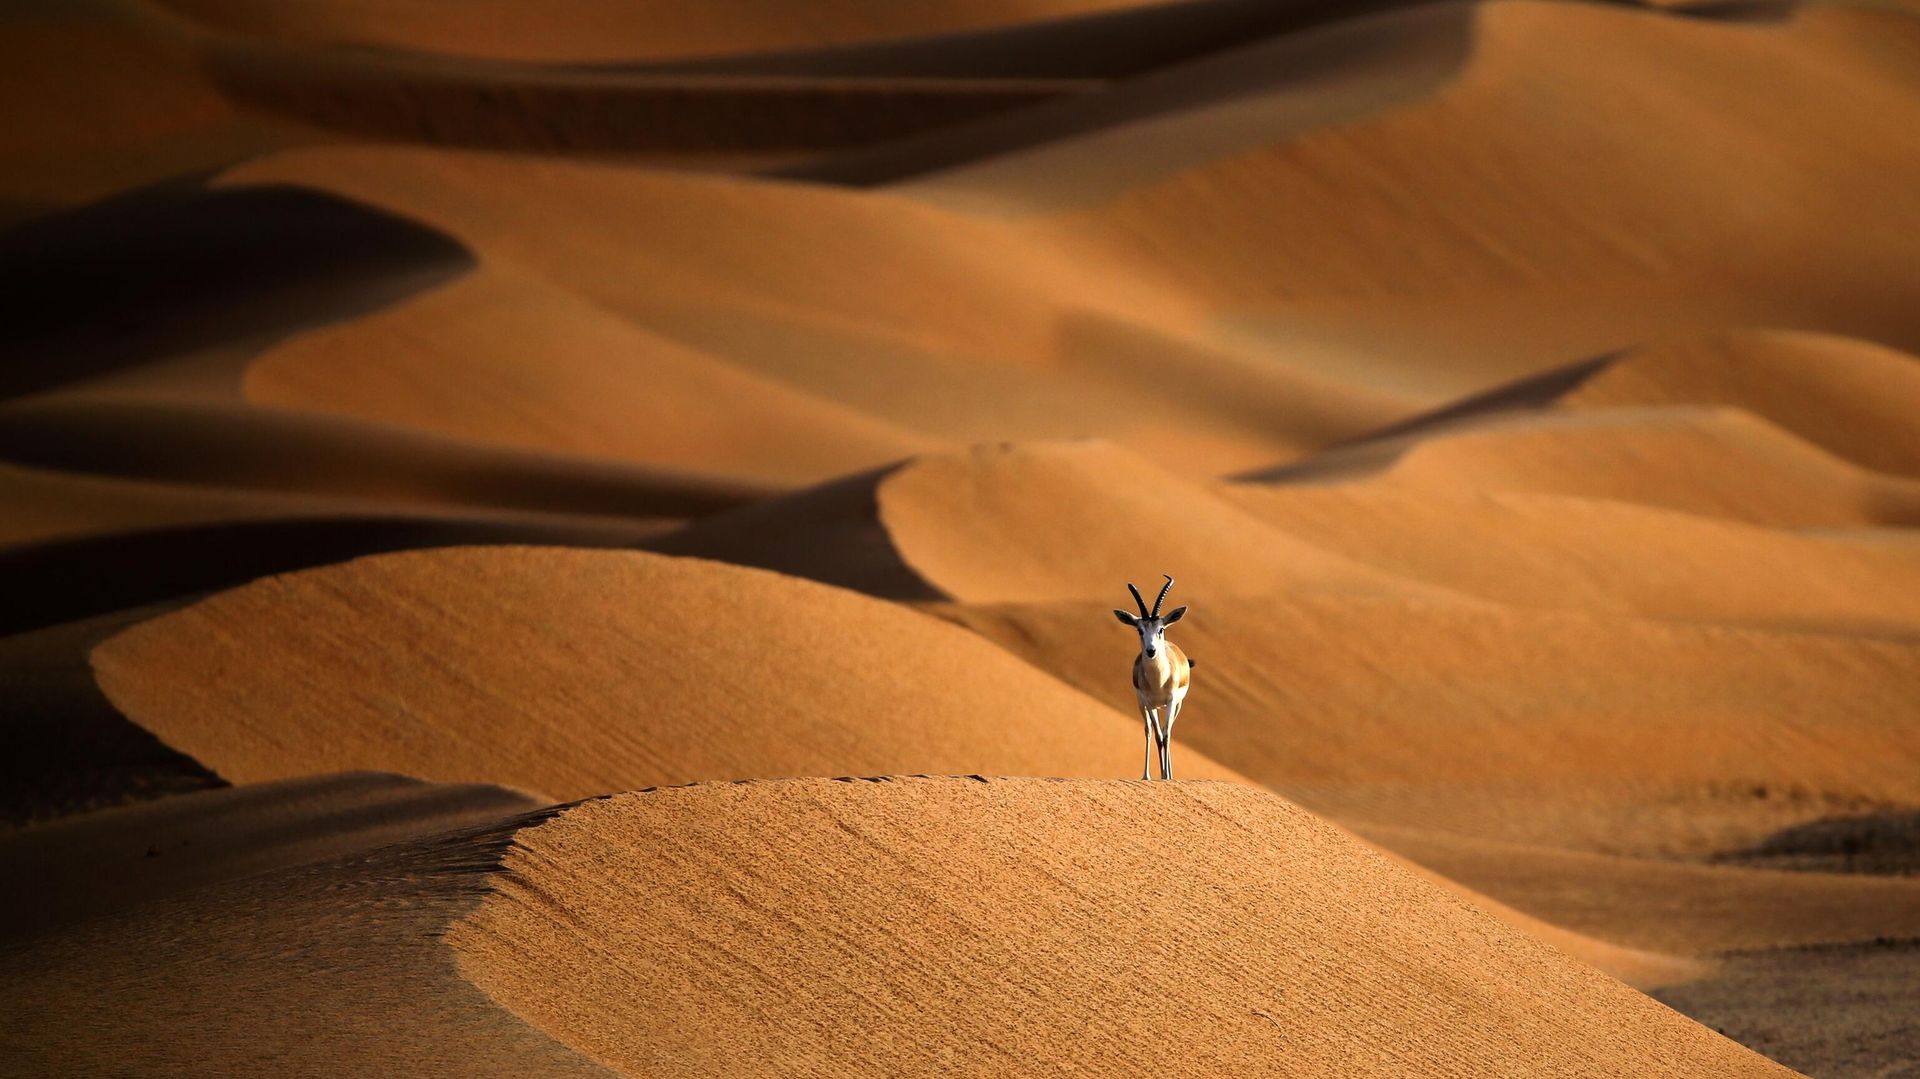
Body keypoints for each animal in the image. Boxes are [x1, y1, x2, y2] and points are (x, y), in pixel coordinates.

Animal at [1114, 575, 1193, 781]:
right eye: (1139, 630)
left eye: (1161, 629)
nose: (1151, 651)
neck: (1159, 680)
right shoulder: (1148, 703)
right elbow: (1157, 735)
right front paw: (1161, 775)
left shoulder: (1172, 701)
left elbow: (1166, 735)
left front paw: (1167, 776)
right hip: (1145, 706)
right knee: (1149, 730)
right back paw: (1147, 775)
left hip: (1176, 705)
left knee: (1169, 730)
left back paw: (1170, 774)